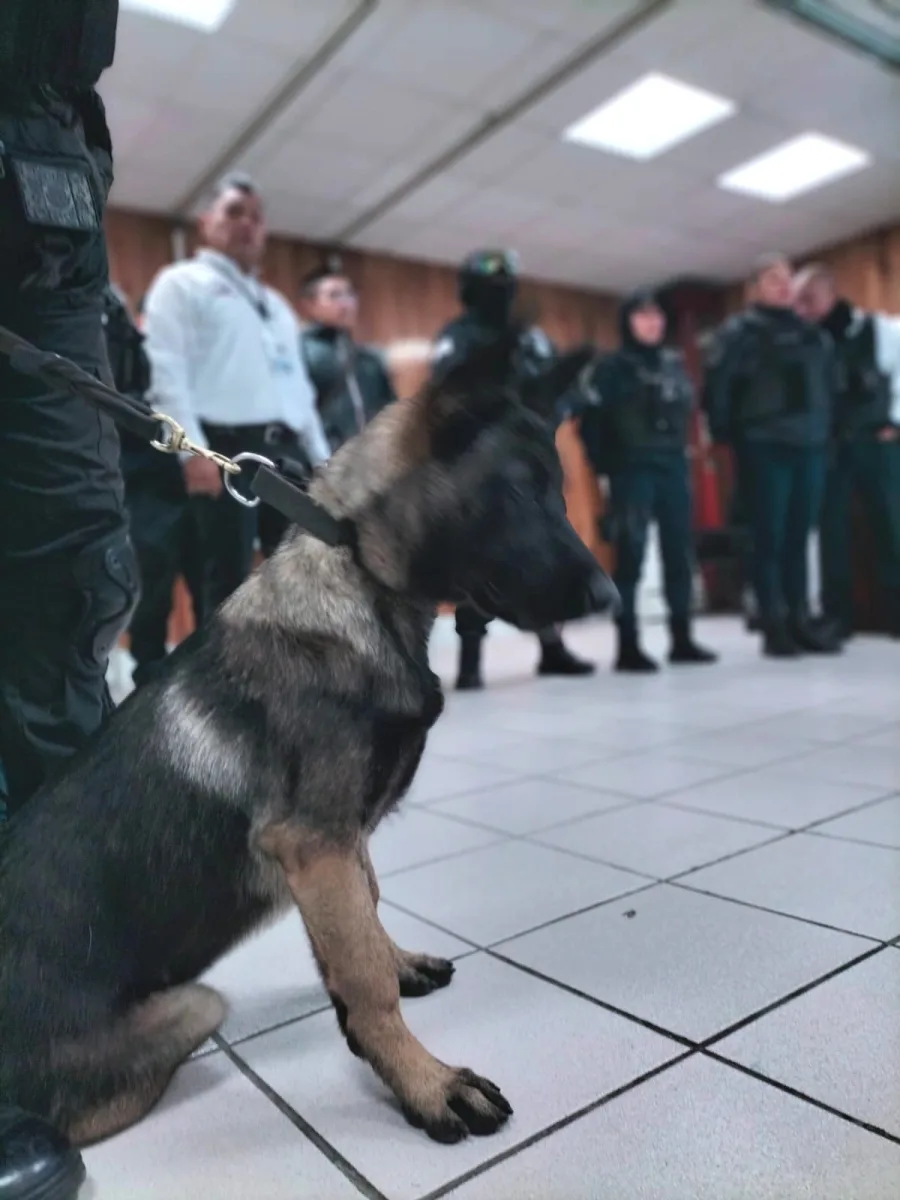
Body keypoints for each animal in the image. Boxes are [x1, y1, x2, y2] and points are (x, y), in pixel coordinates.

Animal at [0, 333, 619, 1147]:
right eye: (519, 492)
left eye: (559, 489)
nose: (611, 597)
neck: (357, 572)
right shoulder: (314, 841)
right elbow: (363, 974)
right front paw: (424, 1083)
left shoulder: (338, 839)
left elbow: (369, 916)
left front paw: (394, 969)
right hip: (195, 1005)